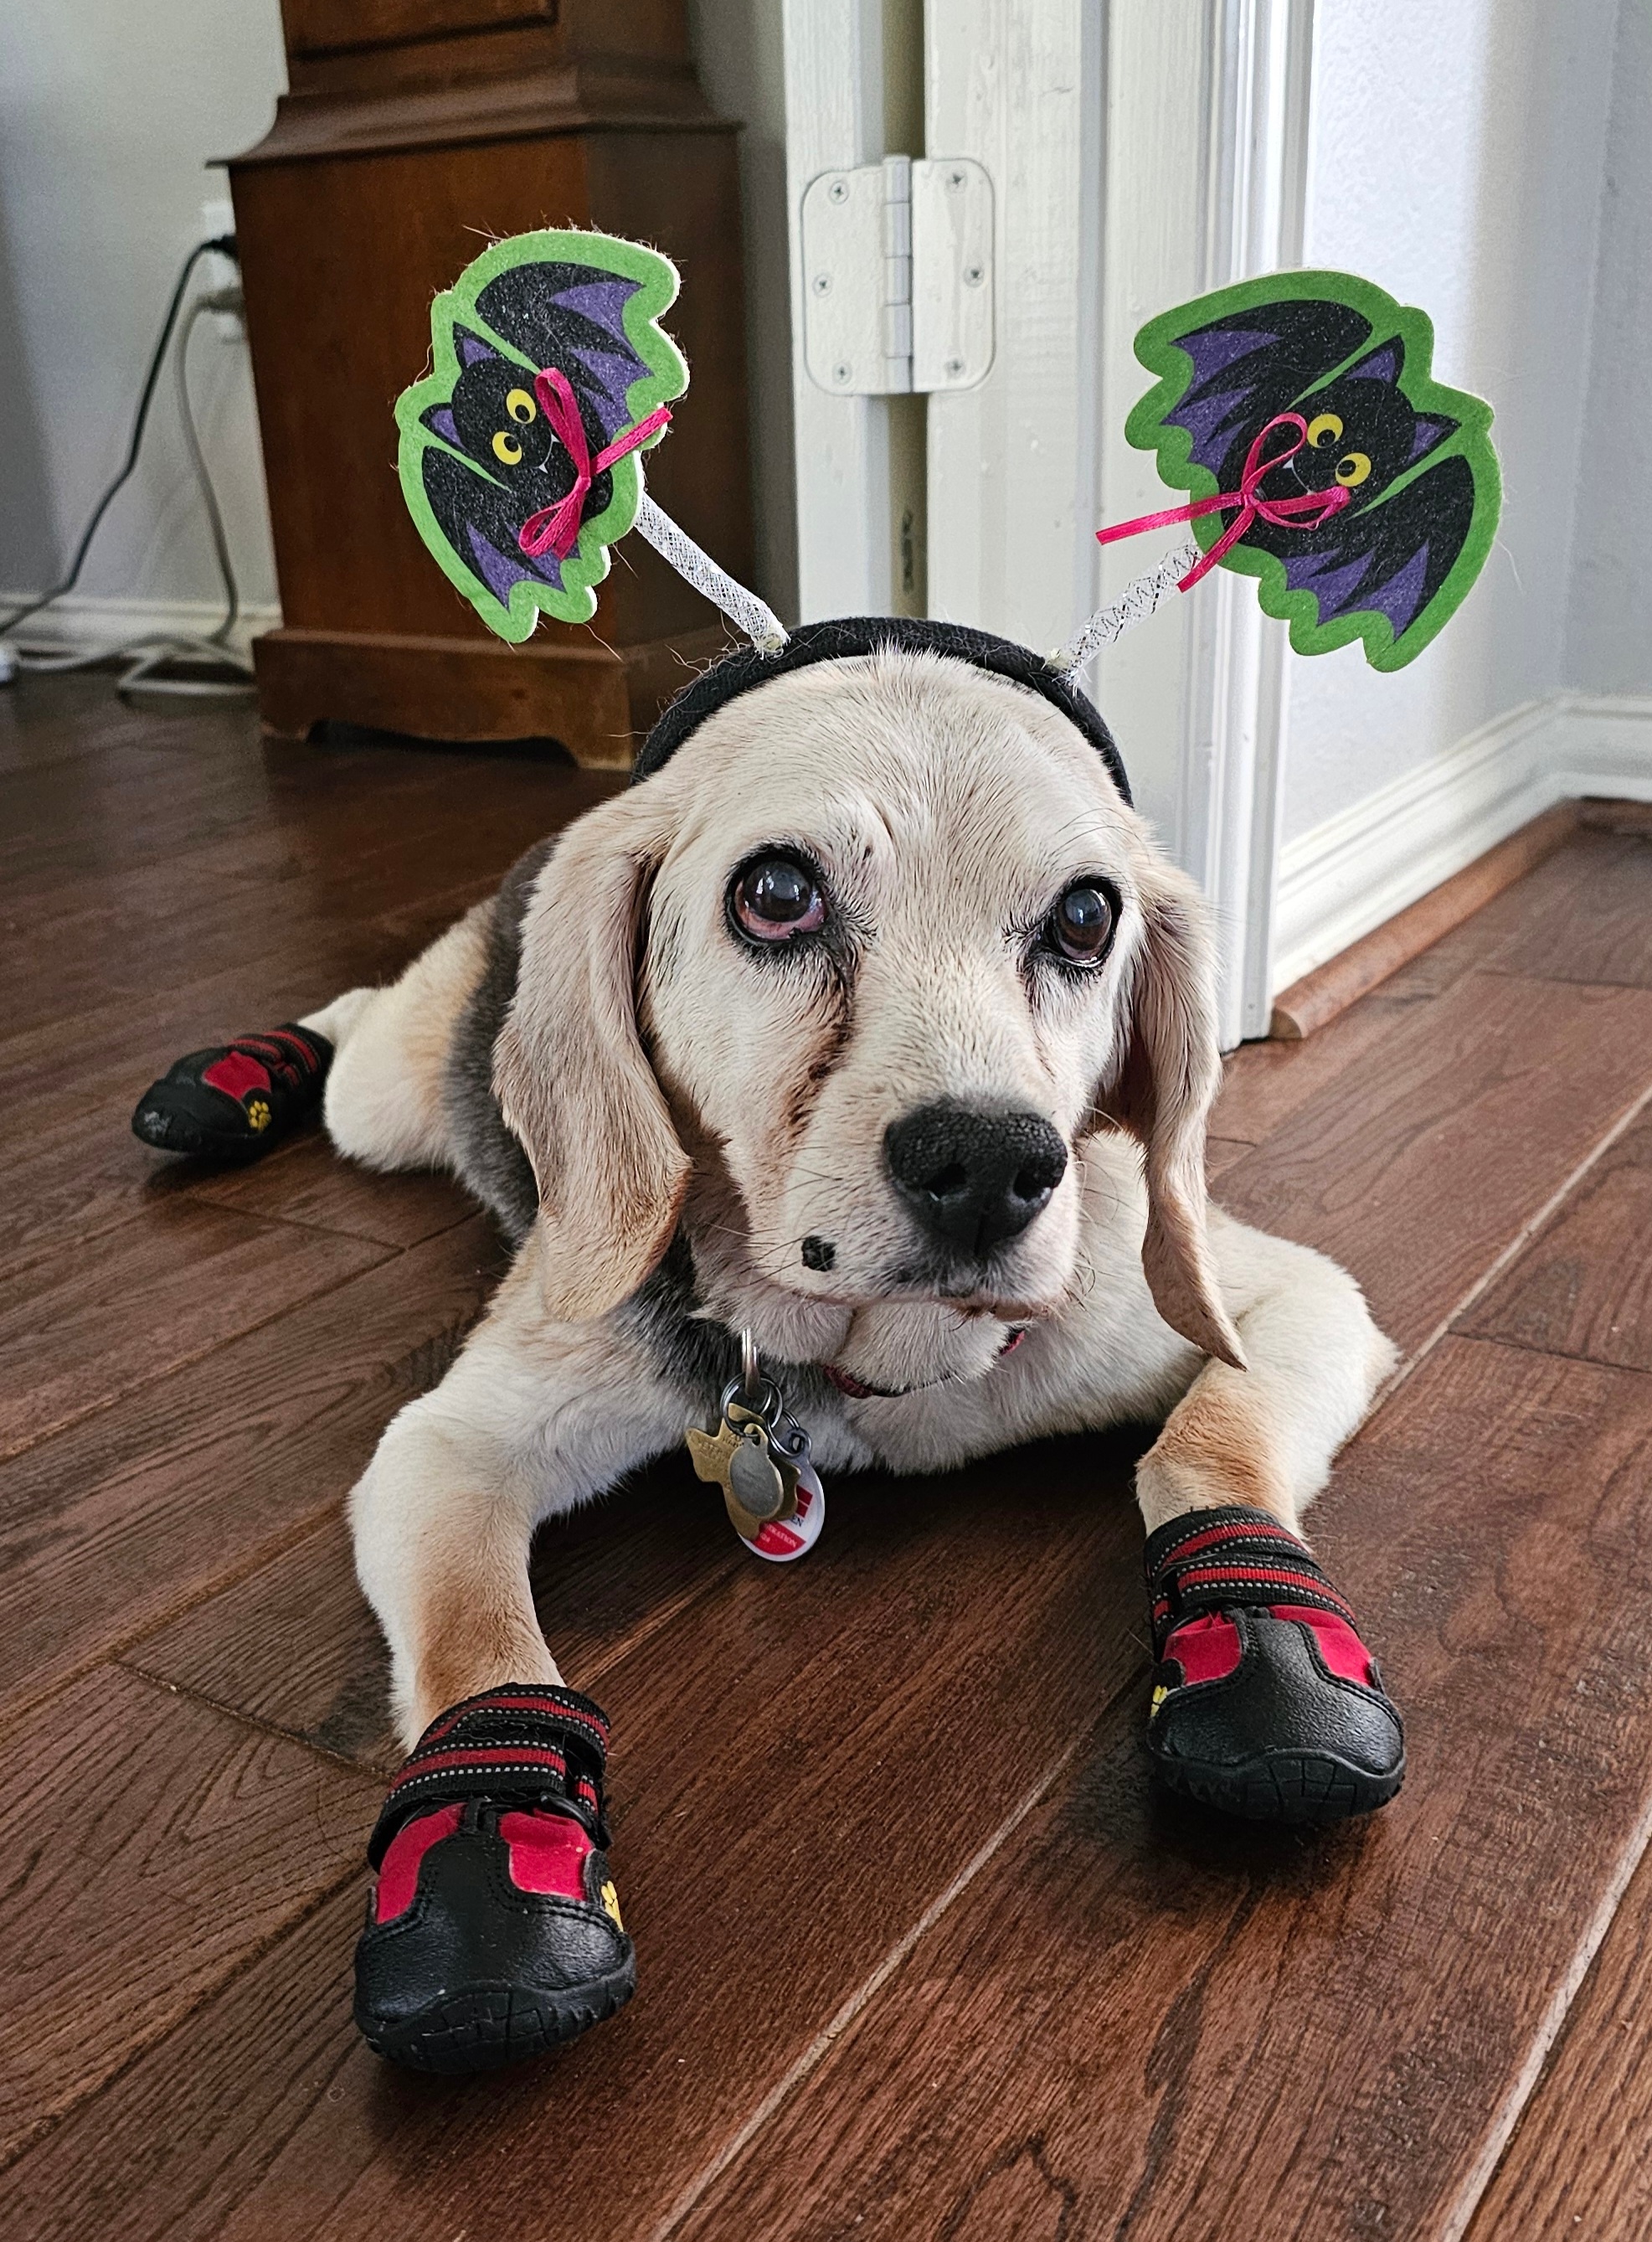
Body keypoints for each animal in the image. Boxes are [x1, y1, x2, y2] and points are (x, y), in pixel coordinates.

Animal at [131, 623, 1389, 2071]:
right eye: (777, 893)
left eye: (1086, 918)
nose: (991, 1165)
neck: (868, 1363)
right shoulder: (443, 1447)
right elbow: (475, 1636)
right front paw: (488, 1855)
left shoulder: (1295, 1302)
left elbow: (1207, 1449)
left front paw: (1267, 1648)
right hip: (385, 1100)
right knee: (348, 1012)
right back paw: (225, 1083)